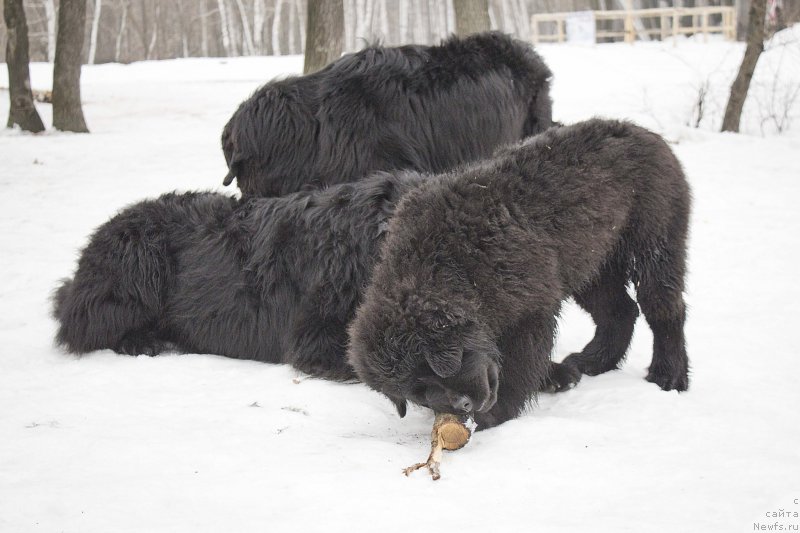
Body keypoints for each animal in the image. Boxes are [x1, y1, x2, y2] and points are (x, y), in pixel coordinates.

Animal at [346, 118, 692, 430]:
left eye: (430, 369)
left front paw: (496, 414)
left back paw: (669, 375)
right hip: (592, 261)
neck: (453, 266)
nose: (461, 407)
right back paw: (593, 361)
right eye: (419, 392)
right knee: (619, 310)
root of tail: (642, 131)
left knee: (663, 308)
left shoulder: (530, 312)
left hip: (655, 238)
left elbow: (517, 366)